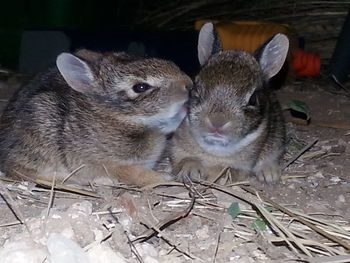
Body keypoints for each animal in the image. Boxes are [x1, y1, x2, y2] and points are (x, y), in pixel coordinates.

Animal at [0, 48, 191, 187]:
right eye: (141, 87)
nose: (189, 85)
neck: (118, 118)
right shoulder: (106, 163)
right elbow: (131, 172)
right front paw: (165, 178)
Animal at [171, 23, 288, 184]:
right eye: (196, 89)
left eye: (253, 99)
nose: (217, 122)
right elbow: (186, 159)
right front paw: (190, 170)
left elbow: (231, 171)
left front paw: (219, 177)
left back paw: (269, 173)